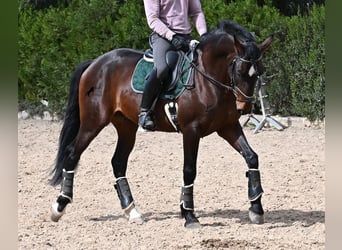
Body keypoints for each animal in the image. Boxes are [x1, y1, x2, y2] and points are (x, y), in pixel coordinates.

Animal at [48, 19, 272, 229]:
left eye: (260, 71)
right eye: (240, 70)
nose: (245, 107)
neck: (208, 78)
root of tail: (95, 62)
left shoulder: (228, 127)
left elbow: (252, 157)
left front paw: (256, 208)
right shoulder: (191, 131)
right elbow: (189, 170)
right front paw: (189, 215)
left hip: (126, 127)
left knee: (118, 163)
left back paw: (132, 211)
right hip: (93, 122)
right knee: (72, 154)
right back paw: (59, 207)